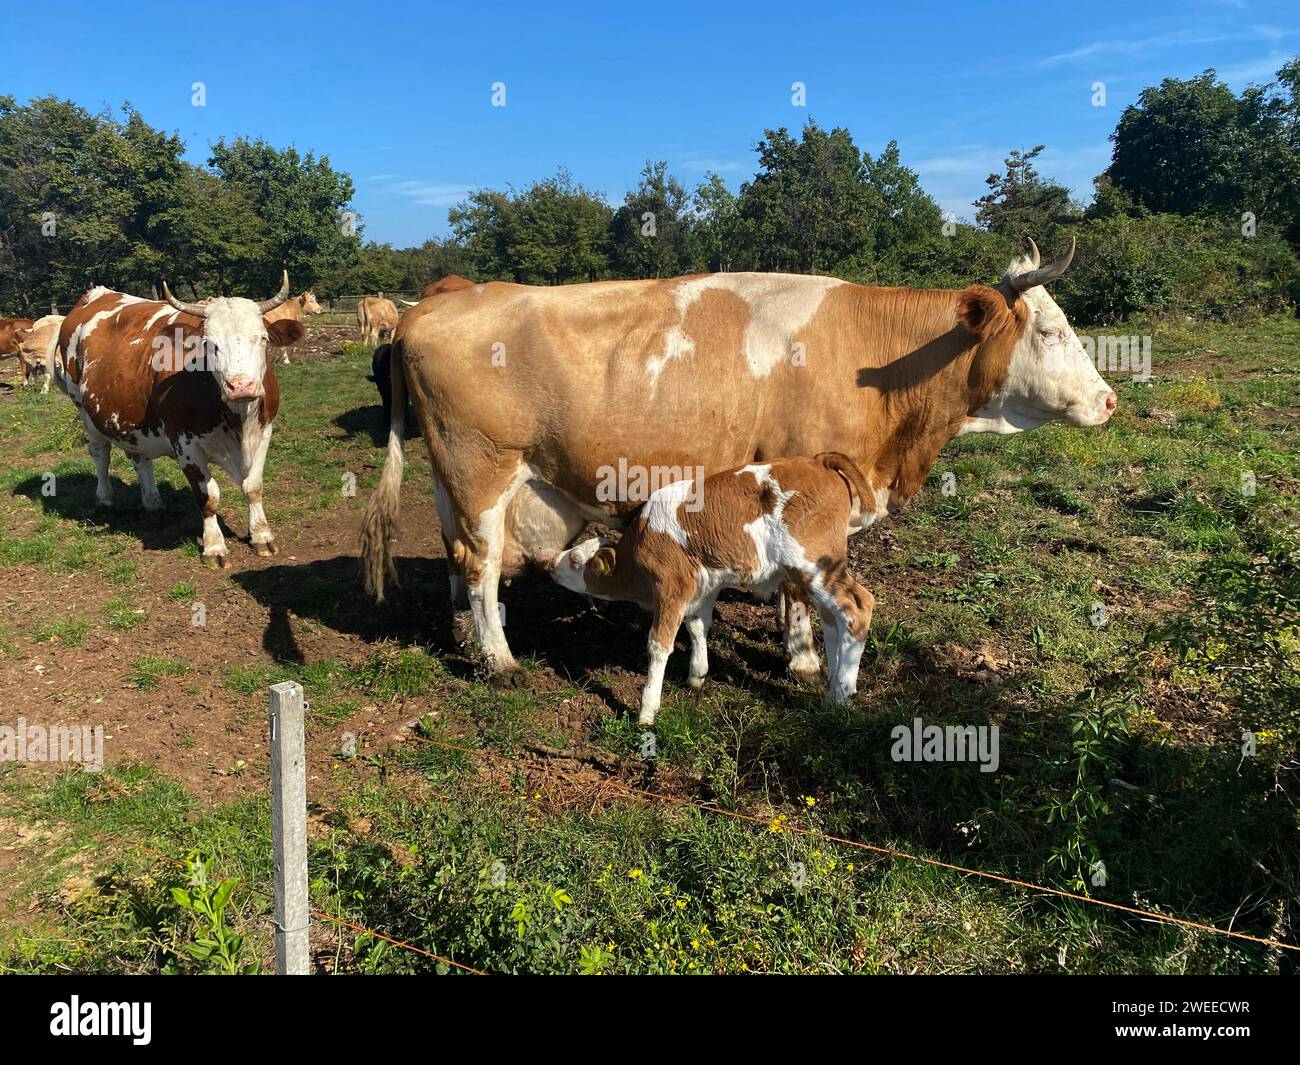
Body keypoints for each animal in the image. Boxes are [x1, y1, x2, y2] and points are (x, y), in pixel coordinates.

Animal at [49, 272, 304, 566]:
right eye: (210, 344)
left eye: (261, 338)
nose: (241, 386)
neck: (238, 420)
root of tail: (96, 294)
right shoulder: (185, 444)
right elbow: (208, 496)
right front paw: (214, 546)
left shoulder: (264, 431)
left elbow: (253, 486)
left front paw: (261, 535)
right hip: (83, 408)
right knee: (100, 454)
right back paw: (105, 499)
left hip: (130, 419)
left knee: (139, 458)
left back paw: (152, 501)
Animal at [361, 238, 1116, 688]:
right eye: (1052, 331)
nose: (1109, 399)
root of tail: (430, 307)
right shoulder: (802, 484)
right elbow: (800, 590)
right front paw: (805, 657)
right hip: (480, 468)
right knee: (481, 563)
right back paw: (498, 659)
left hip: (453, 478)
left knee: (458, 557)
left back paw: (464, 637)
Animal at [549, 454, 876, 725]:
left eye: (575, 559)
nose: (550, 563)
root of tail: (818, 462)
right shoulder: (703, 586)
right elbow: (697, 627)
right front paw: (697, 675)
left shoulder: (671, 586)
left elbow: (658, 644)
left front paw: (647, 712)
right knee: (833, 622)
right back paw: (832, 689)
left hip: (814, 564)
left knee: (857, 608)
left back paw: (840, 695)